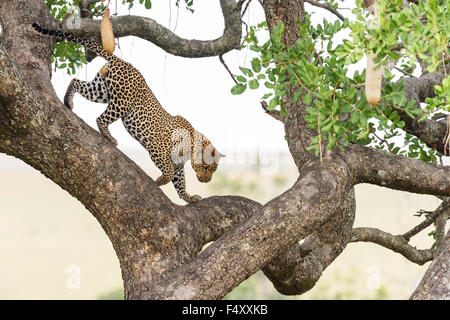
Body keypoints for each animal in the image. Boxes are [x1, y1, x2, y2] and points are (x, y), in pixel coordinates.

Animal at [30, 23, 224, 202]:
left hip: (101, 90)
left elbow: (180, 183)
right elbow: (168, 172)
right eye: (206, 167)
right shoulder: (157, 148)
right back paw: (109, 137)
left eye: (213, 169)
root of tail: (121, 61)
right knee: (100, 118)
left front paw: (189, 197)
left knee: (76, 81)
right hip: (122, 103)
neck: (190, 147)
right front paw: (159, 181)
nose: (206, 181)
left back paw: (68, 101)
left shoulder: (178, 165)